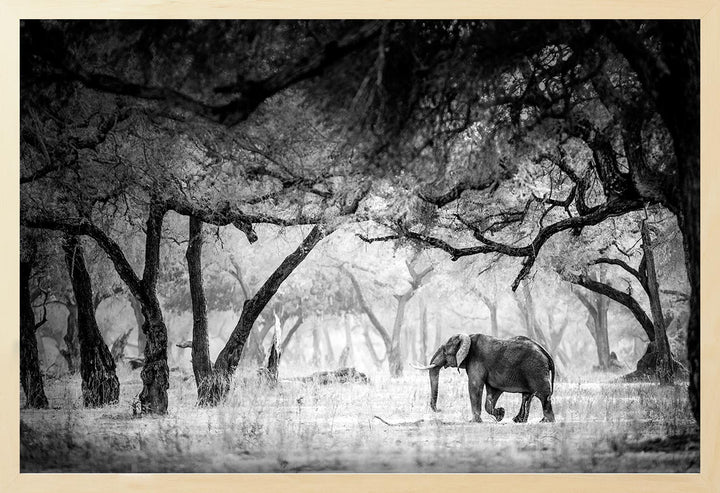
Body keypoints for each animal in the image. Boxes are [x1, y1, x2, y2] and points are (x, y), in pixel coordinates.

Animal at [412, 333, 555, 423]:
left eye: (444, 352)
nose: (439, 410)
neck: (468, 337)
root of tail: (546, 353)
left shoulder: (476, 361)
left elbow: (474, 386)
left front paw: (474, 421)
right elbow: (492, 392)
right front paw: (501, 414)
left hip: (535, 369)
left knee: (543, 395)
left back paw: (546, 421)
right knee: (527, 396)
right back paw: (518, 421)